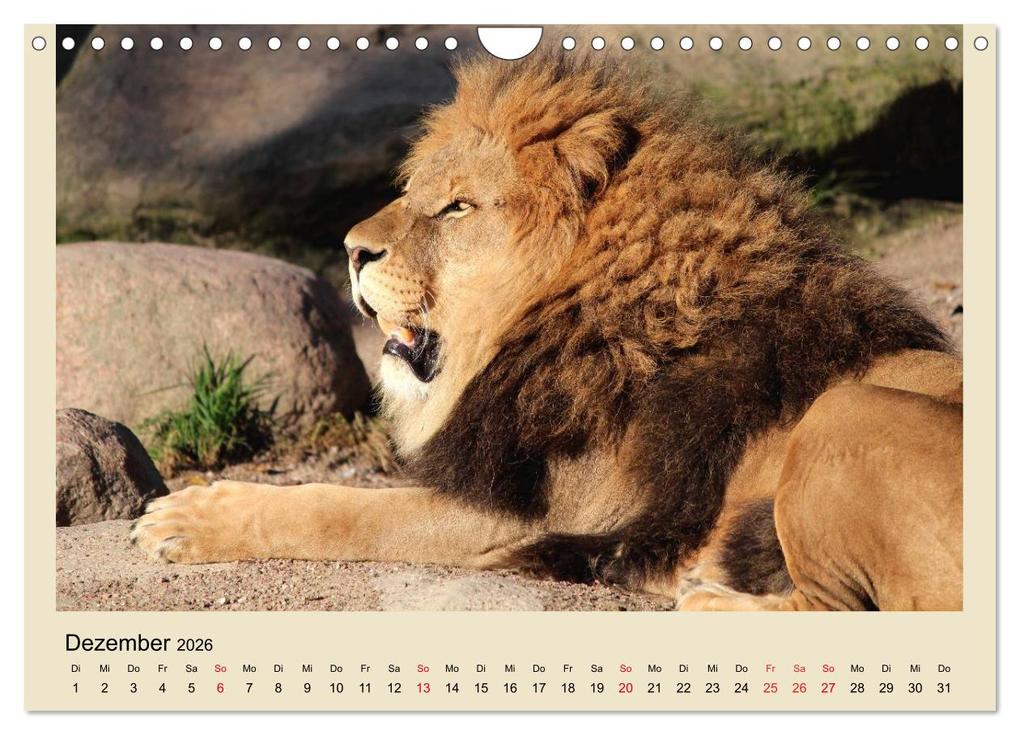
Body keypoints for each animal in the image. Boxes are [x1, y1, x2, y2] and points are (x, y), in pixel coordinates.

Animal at [132, 53, 963, 611]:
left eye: (456, 207)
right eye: (411, 191)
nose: (350, 249)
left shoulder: (543, 513)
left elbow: (342, 508)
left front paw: (191, 515)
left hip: (843, 411)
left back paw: (703, 593)